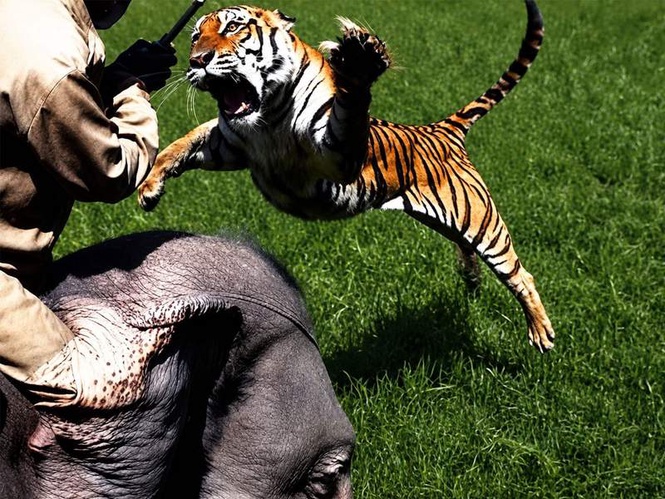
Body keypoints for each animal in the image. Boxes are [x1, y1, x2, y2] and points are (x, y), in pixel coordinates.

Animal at [138, 0, 555, 352]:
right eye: (195, 36)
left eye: (234, 27)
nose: (197, 61)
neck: (268, 115)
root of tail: (440, 129)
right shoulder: (227, 143)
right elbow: (181, 143)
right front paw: (149, 187)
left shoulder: (338, 152)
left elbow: (351, 106)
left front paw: (358, 61)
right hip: (449, 219)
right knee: (466, 249)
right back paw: (470, 281)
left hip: (480, 220)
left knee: (521, 275)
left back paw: (541, 333)